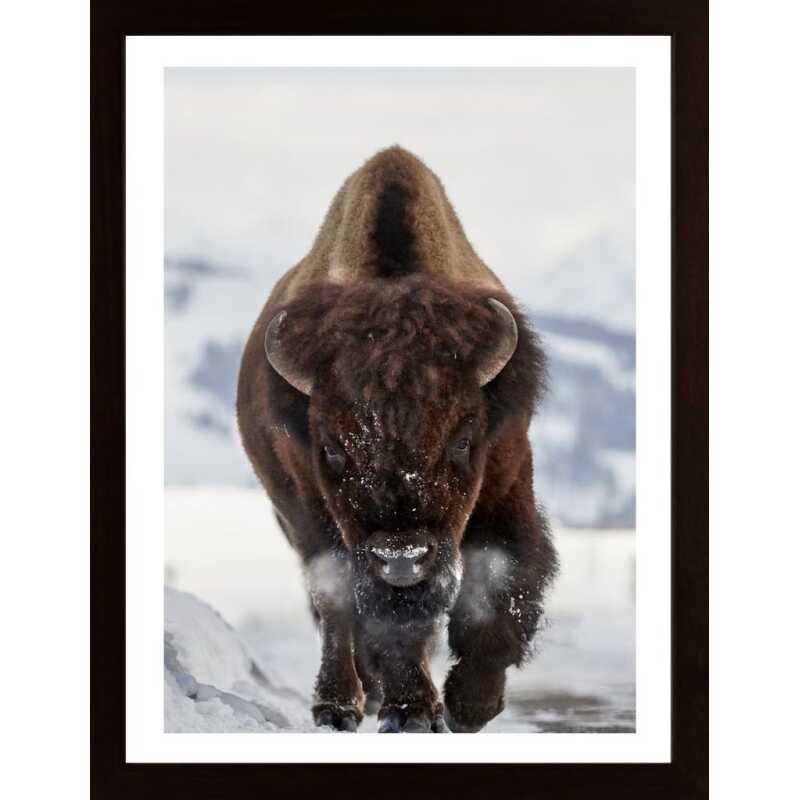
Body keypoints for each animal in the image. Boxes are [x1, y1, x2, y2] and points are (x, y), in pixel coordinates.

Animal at [237, 146, 557, 733]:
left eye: (463, 439)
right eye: (332, 447)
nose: (402, 558)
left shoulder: (506, 480)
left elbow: (502, 582)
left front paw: (469, 705)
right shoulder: (319, 513)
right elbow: (371, 614)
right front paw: (411, 710)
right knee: (336, 610)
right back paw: (341, 704)